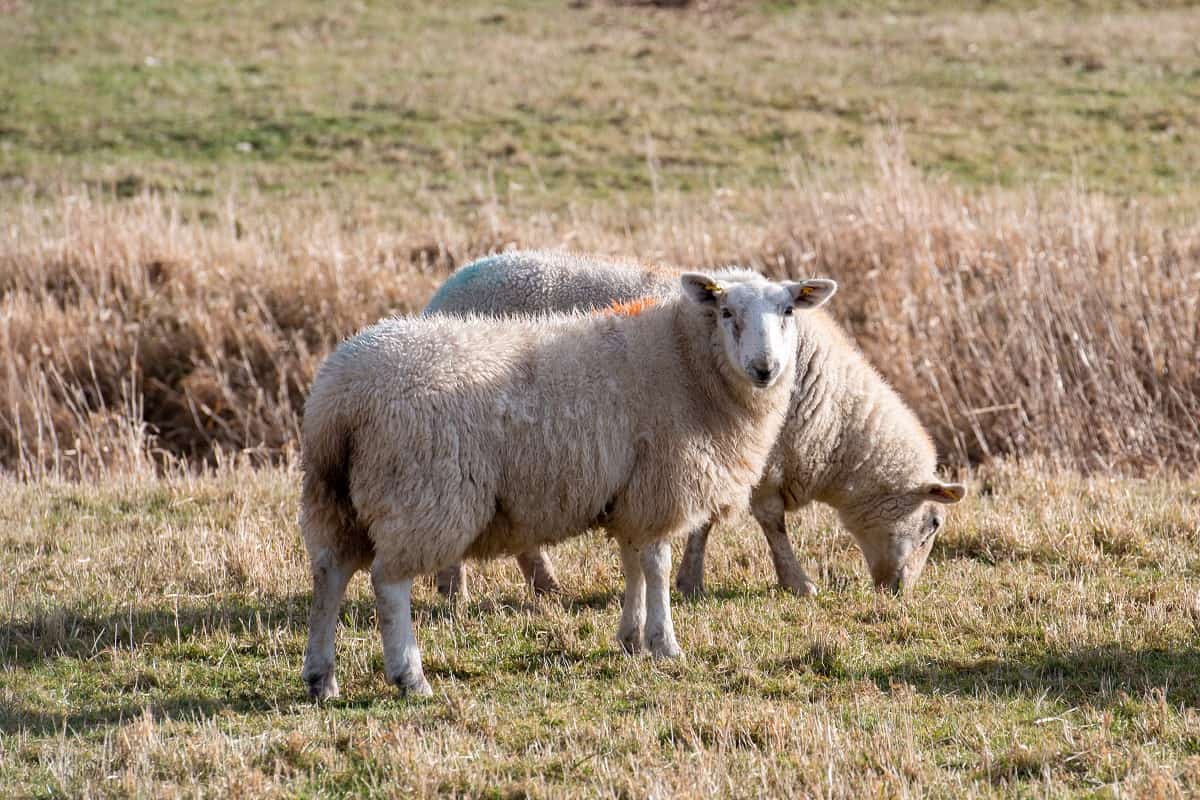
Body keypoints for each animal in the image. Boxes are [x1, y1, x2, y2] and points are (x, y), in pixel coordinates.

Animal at [299, 268, 838, 698]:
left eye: (788, 309)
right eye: (726, 311)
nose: (765, 369)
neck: (685, 359)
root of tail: (340, 398)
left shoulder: (630, 494)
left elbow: (632, 564)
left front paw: (630, 638)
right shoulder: (659, 486)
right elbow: (657, 566)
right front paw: (664, 643)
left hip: (335, 497)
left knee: (329, 573)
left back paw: (321, 678)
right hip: (420, 492)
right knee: (388, 584)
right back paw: (410, 677)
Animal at [427, 251, 965, 600]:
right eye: (933, 525)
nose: (899, 591)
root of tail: (443, 293)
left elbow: (703, 522)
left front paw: (689, 582)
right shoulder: (754, 457)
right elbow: (770, 521)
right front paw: (796, 582)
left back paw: (545, 587)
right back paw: (456, 594)